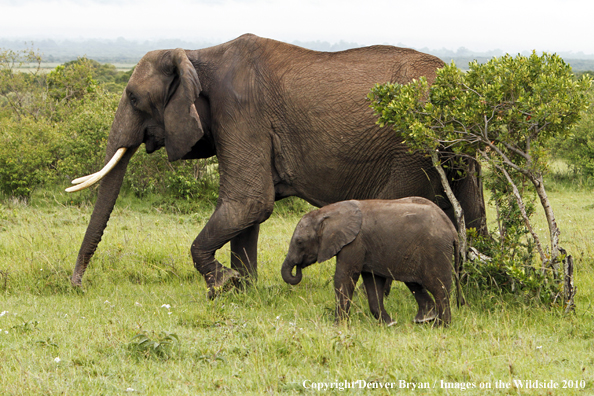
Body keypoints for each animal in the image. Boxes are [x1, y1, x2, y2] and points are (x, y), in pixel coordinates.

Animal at [67, 34, 484, 296]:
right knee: (471, 212)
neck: (198, 54)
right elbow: (248, 215)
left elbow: (249, 202)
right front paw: (244, 289)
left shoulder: (240, 112)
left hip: (412, 148)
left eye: (134, 98)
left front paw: (225, 284)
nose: (77, 285)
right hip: (459, 153)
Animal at [280, 197, 458, 324]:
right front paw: (389, 323)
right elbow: (373, 283)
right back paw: (425, 320)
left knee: (439, 288)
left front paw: (338, 326)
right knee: (415, 283)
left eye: (299, 242)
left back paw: (441, 326)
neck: (328, 212)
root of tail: (451, 228)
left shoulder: (354, 243)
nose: (299, 267)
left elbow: (344, 277)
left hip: (435, 250)